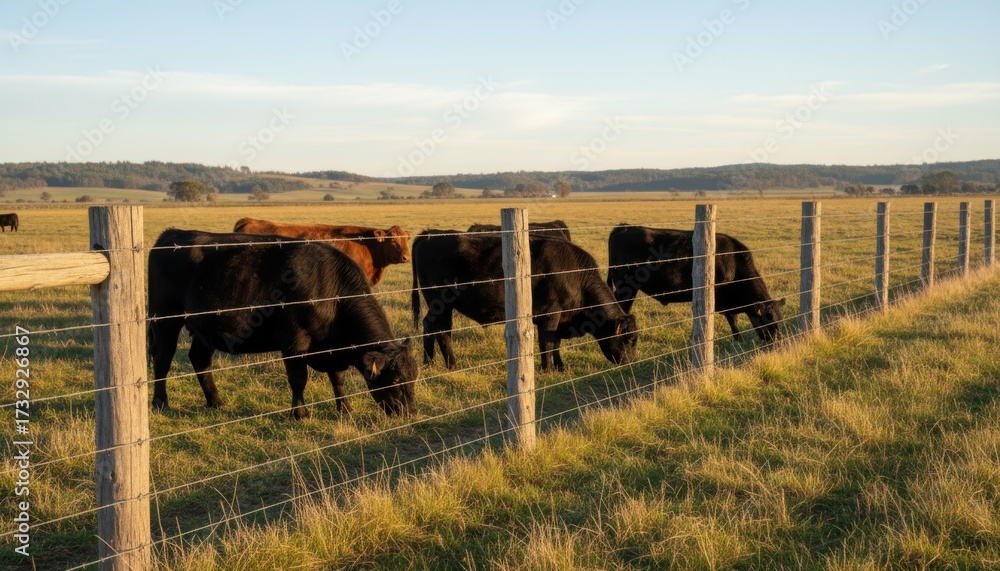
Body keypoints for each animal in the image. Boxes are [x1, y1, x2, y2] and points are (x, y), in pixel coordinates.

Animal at [148, 228, 417, 419]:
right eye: (396, 381)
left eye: (414, 378)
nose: (410, 412)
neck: (329, 290)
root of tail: (171, 234)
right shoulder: (293, 341)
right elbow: (298, 379)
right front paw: (300, 413)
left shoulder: (332, 348)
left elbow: (337, 379)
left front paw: (345, 409)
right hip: (165, 321)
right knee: (162, 360)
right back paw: (160, 403)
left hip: (205, 328)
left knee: (200, 361)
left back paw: (216, 401)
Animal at [412, 230, 638, 371]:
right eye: (627, 340)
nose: (630, 362)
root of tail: (429, 235)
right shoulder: (550, 315)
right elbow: (548, 343)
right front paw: (548, 369)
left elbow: (555, 344)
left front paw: (560, 366)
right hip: (441, 304)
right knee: (441, 331)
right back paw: (450, 365)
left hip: (438, 306)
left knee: (431, 327)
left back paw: (430, 362)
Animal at [607, 224, 785, 343]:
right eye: (768, 319)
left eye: (780, 319)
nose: (777, 340)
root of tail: (624, 227)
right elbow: (732, 320)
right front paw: (738, 340)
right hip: (626, 288)